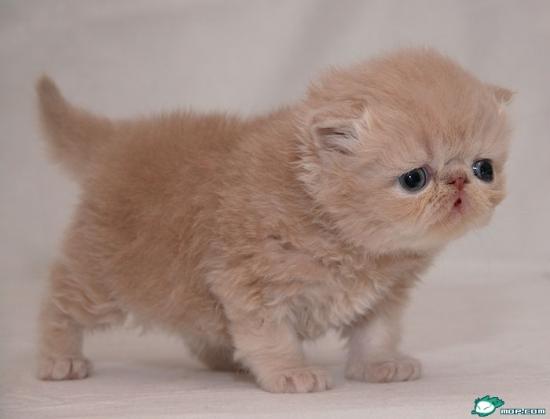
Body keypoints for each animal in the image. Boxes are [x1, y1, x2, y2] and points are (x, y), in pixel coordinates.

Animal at [35, 47, 512, 392]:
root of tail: (118, 140)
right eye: (414, 179)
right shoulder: (250, 283)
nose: (458, 181)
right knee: (60, 301)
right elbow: (271, 336)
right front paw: (289, 373)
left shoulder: (382, 297)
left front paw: (380, 365)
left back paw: (227, 360)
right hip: (101, 279)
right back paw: (60, 359)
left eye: (483, 168)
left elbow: (376, 334)